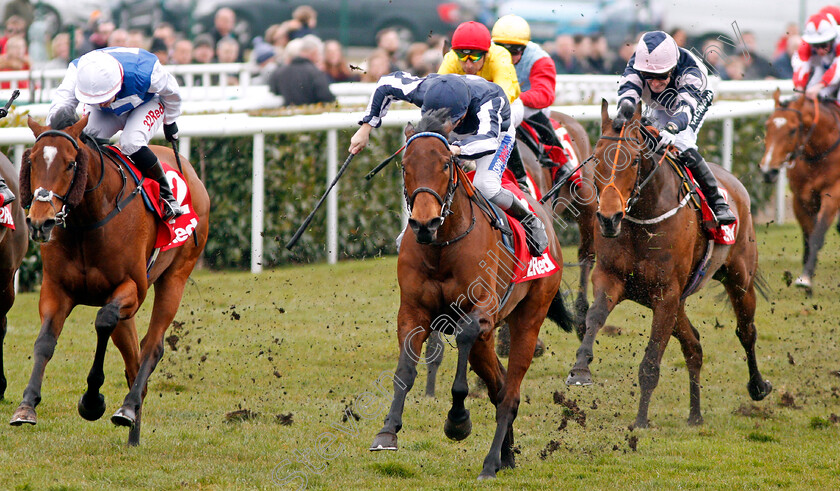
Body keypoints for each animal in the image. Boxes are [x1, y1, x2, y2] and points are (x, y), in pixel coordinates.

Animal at [9, 110, 210, 446]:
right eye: (32, 161)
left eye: (71, 163)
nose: (40, 222)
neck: (87, 221)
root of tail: (188, 169)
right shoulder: (55, 290)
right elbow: (45, 342)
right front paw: (27, 406)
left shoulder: (132, 289)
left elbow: (103, 321)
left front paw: (92, 401)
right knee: (133, 360)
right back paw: (133, 431)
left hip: (176, 276)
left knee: (151, 346)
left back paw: (127, 409)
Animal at [370, 108, 576, 480]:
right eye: (405, 165)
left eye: (445, 164)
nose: (424, 223)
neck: (441, 247)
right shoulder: (413, 312)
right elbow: (404, 371)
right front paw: (387, 432)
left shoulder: (481, 311)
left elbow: (463, 353)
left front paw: (457, 421)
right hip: (489, 339)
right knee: (499, 385)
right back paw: (506, 455)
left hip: (528, 318)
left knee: (510, 393)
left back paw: (490, 463)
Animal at [568, 102, 772, 428]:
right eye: (597, 157)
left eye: (634, 159)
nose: (609, 218)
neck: (641, 218)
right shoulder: (611, 278)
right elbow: (595, 317)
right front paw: (580, 369)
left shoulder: (666, 294)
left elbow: (651, 361)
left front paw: (640, 421)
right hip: (678, 300)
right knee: (694, 346)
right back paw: (695, 414)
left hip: (739, 277)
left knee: (746, 330)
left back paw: (758, 386)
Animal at [756, 91, 840, 292]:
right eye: (767, 125)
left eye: (793, 130)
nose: (768, 170)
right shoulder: (801, 198)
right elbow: (808, 236)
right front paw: (806, 276)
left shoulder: (833, 193)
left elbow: (818, 234)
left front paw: (805, 279)